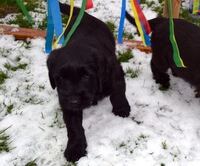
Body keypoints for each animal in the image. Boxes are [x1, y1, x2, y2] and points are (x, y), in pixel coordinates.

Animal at [47, 3, 131, 162]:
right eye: (60, 78)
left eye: (86, 76)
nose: (74, 100)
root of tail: (84, 14)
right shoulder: (67, 103)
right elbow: (74, 127)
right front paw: (75, 148)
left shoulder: (115, 71)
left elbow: (118, 91)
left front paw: (122, 109)